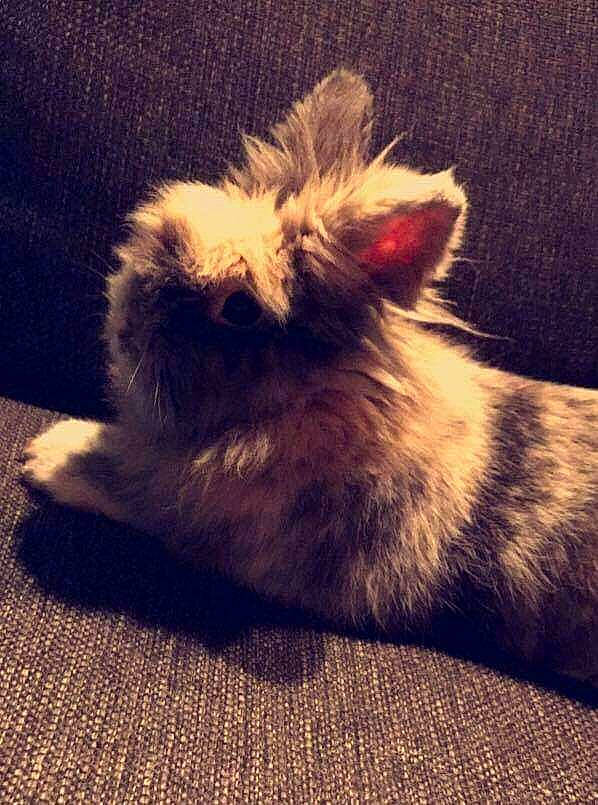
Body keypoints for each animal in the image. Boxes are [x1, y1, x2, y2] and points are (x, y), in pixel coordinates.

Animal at [22, 69, 598, 685]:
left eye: (241, 309)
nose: (125, 329)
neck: (307, 404)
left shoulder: (222, 532)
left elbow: (136, 490)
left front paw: (49, 455)